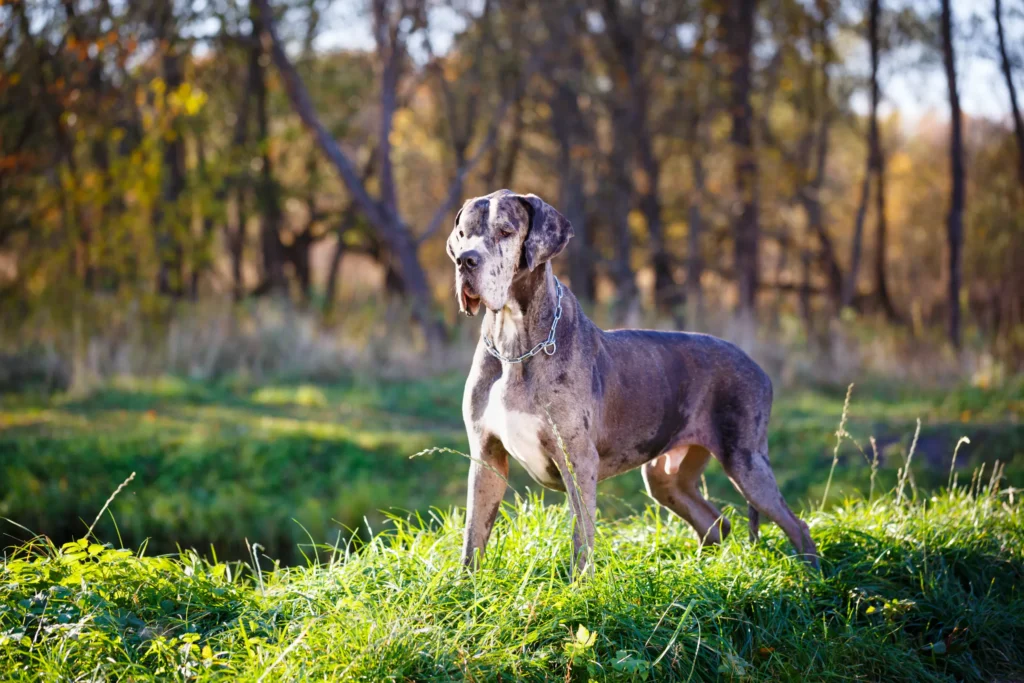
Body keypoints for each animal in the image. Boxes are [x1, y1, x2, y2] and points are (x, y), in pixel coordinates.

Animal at [446, 188, 815, 577]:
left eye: (505, 231)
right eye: (463, 234)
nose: (466, 261)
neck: (514, 346)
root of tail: (756, 365)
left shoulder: (578, 459)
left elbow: (581, 537)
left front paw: (580, 587)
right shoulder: (486, 456)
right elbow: (473, 535)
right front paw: (465, 586)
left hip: (746, 461)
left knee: (796, 524)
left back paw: (813, 576)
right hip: (666, 478)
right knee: (715, 522)